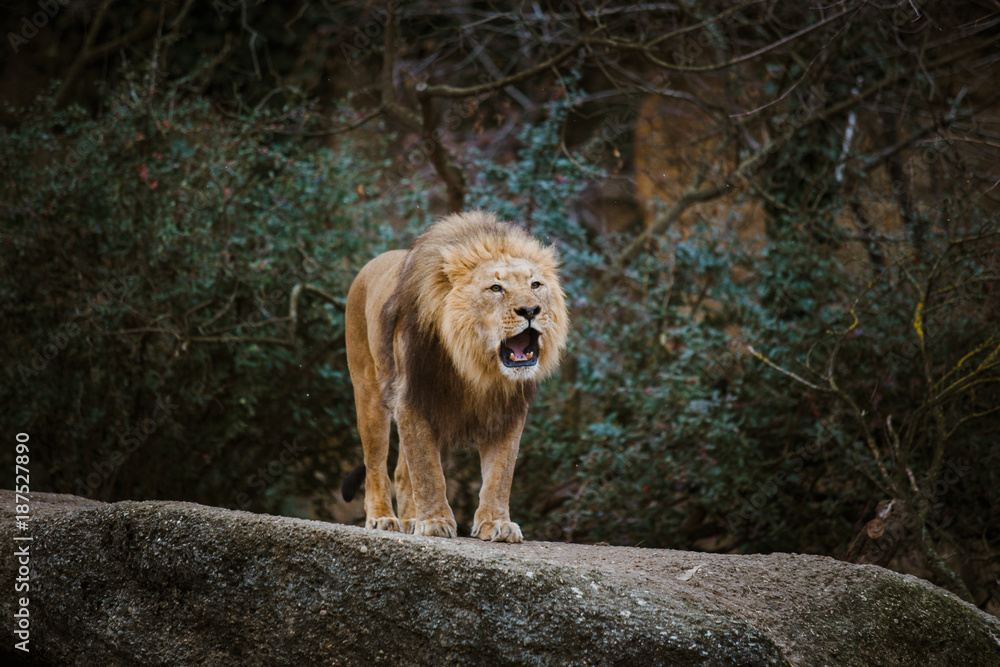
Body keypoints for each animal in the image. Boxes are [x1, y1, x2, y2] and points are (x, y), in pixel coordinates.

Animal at [340, 210, 569, 543]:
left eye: (536, 284)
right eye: (496, 288)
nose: (530, 309)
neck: (477, 364)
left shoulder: (508, 409)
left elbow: (501, 473)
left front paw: (496, 523)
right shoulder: (412, 397)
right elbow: (427, 471)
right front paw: (435, 521)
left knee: (401, 472)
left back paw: (411, 519)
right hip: (369, 393)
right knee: (376, 466)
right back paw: (382, 517)